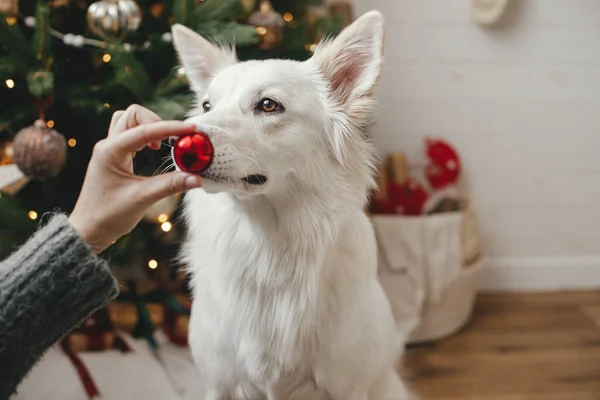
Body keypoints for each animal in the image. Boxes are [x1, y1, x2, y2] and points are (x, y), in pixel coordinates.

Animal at [171, 10, 410, 398]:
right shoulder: (221, 383)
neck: (268, 243)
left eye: (269, 105)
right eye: (207, 106)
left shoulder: (348, 386)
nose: (179, 143)